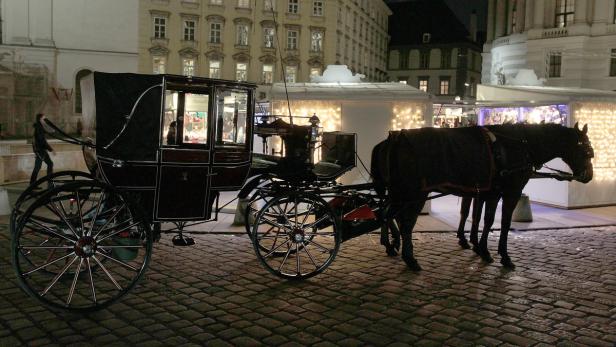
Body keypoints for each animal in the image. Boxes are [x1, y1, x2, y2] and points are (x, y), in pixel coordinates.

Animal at [372, 123, 596, 270]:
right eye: (586, 150)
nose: (589, 175)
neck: (521, 145)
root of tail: (396, 138)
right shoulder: (509, 192)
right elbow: (501, 222)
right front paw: (501, 254)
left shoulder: (487, 192)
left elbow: (481, 218)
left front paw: (479, 247)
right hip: (415, 193)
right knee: (405, 222)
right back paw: (408, 257)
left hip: (399, 192)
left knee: (386, 214)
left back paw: (392, 245)